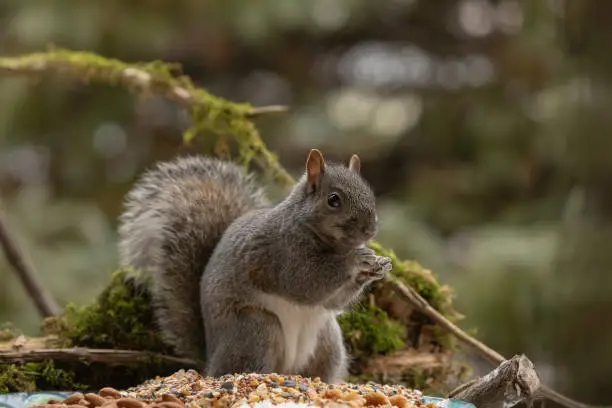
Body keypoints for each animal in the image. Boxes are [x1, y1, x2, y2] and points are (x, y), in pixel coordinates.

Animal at [116, 149, 392, 382]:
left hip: (327, 342)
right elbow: (307, 282)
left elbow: (333, 302)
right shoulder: (282, 254)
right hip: (256, 329)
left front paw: (376, 266)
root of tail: (211, 360)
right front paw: (357, 261)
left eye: (369, 193)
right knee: (246, 366)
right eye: (333, 200)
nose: (370, 230)